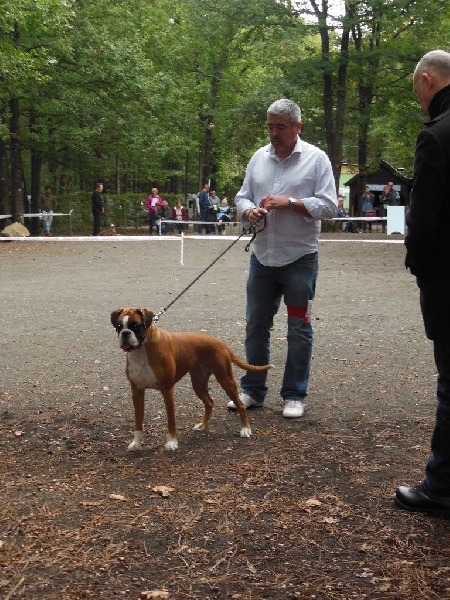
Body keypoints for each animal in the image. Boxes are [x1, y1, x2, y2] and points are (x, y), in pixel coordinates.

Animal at [111, 308, 270, 452]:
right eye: (119, 326)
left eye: (135, 326)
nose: (125, 333)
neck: (142, 349)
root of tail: (220, 343)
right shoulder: (137, 391)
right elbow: (138, 420)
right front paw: (136, 443)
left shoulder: (167, 390)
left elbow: (171, 420)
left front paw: (172, 442)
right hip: (198, 384)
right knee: (209, 402)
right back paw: (202, 425)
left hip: (226, 380)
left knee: (240, 405)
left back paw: (245, 429)